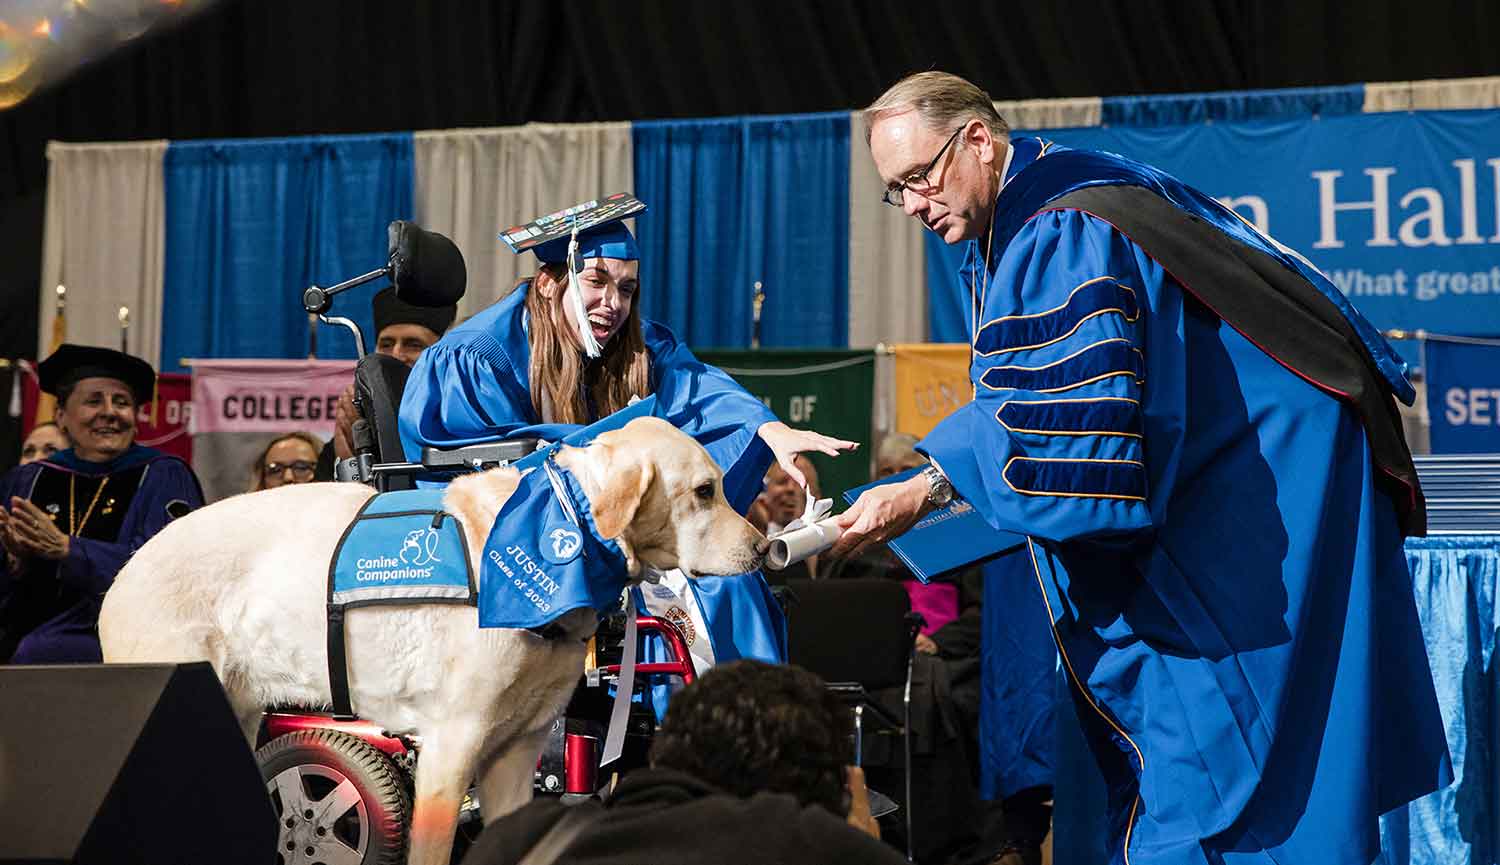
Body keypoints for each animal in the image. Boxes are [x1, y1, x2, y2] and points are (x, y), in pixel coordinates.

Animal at [99, 413, 768, 857]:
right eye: (704, 491)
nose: (766, 549)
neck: (564, 529)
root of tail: (129, 564)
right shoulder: (451, 746)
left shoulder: (517, 752)